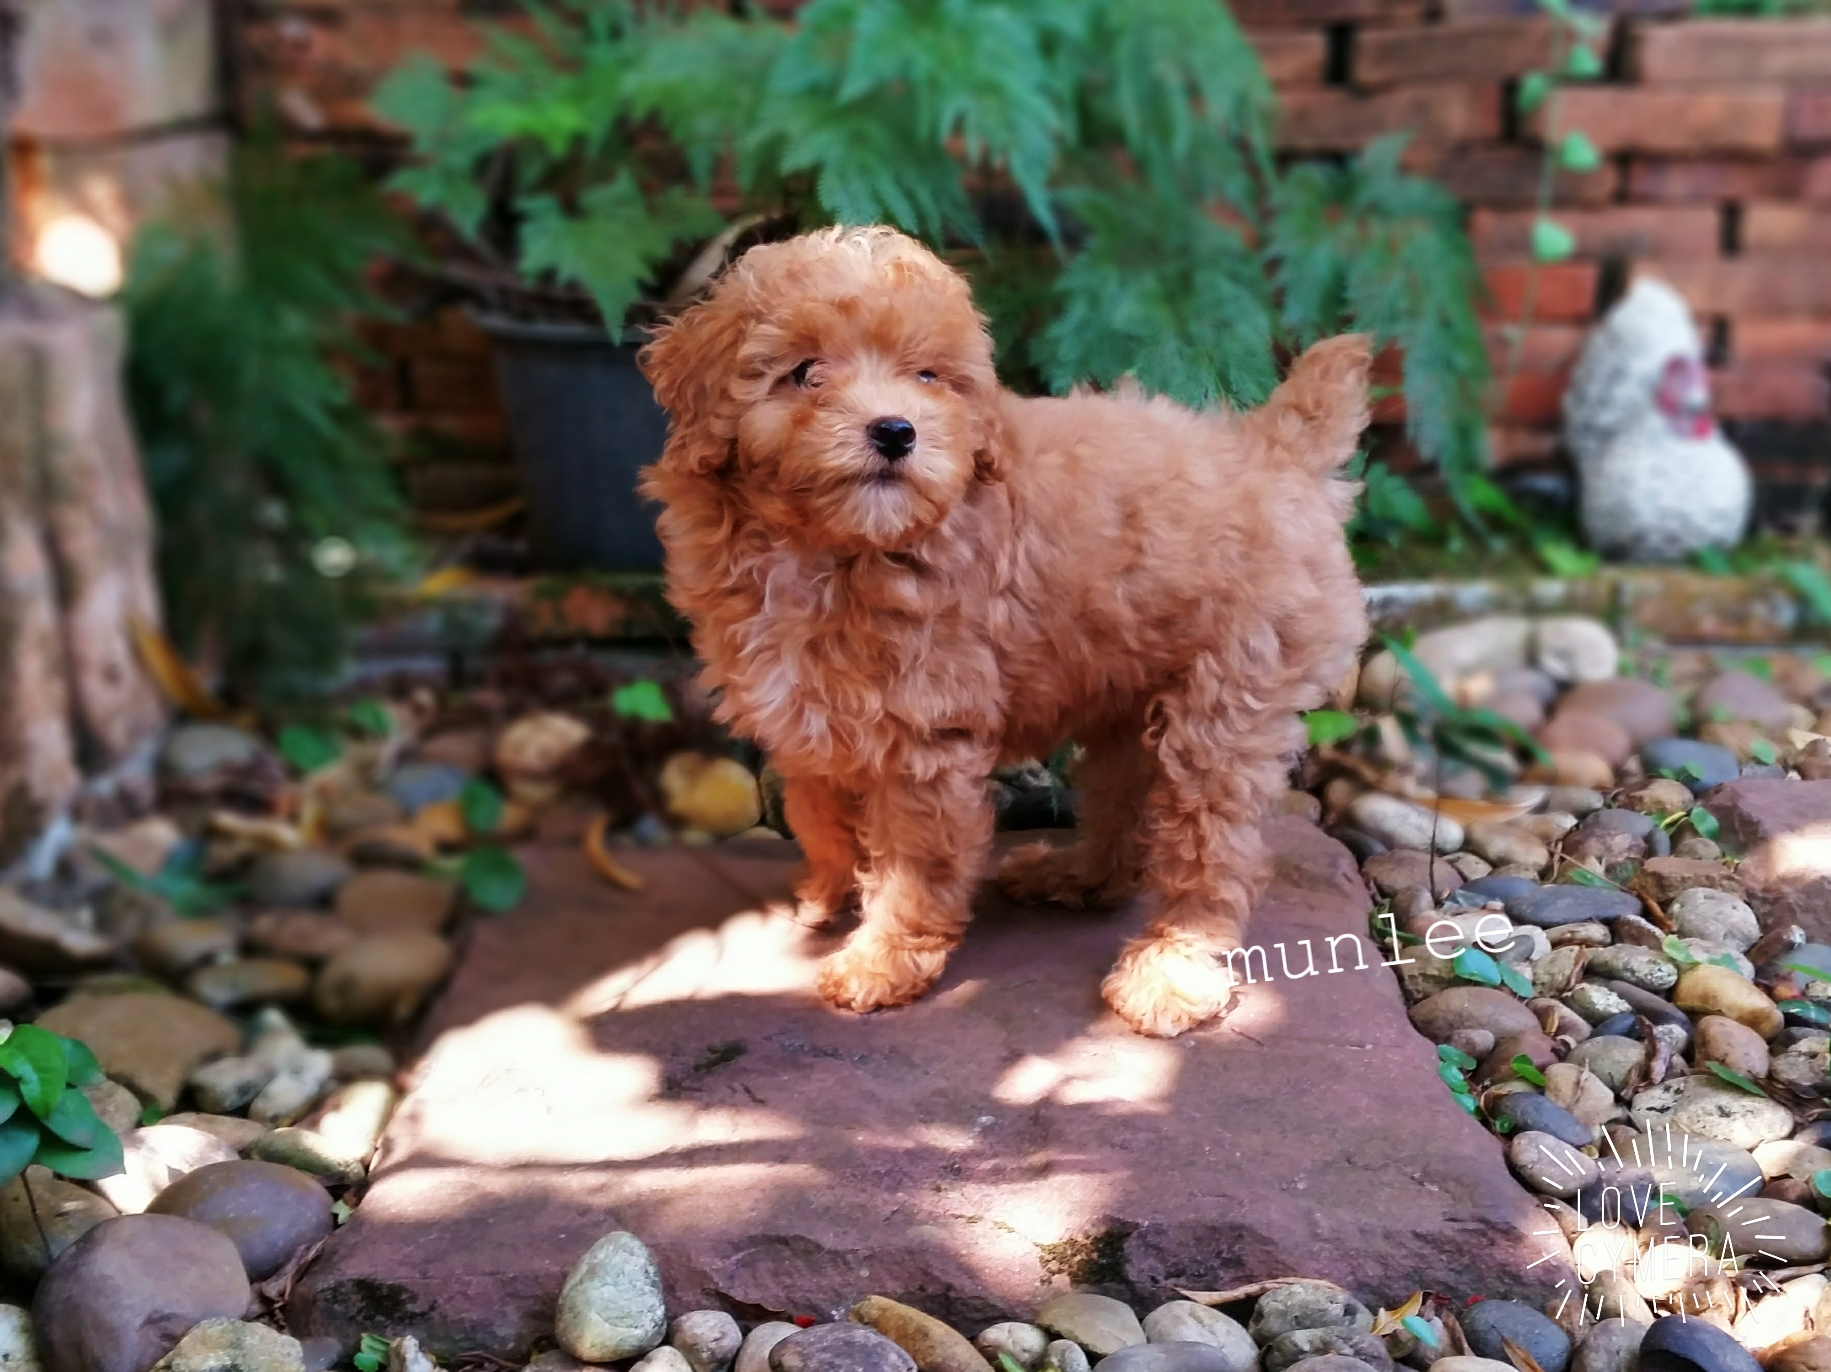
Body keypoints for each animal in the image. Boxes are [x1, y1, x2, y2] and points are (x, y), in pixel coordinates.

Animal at [639, 225, 1370, 1038]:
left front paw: (882, 961)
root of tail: (1275, 452)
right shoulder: (809, 718)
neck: (834, 547)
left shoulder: (924, 735)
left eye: (927, 376)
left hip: (1228, 699)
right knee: (1122, 800)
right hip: (1129, 691)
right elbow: (817, 811)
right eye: (805, 373)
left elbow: (914, 862)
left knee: (1212, 845)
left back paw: (1172, 969)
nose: (895, 431)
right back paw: (1077, 876)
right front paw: (825, 894)